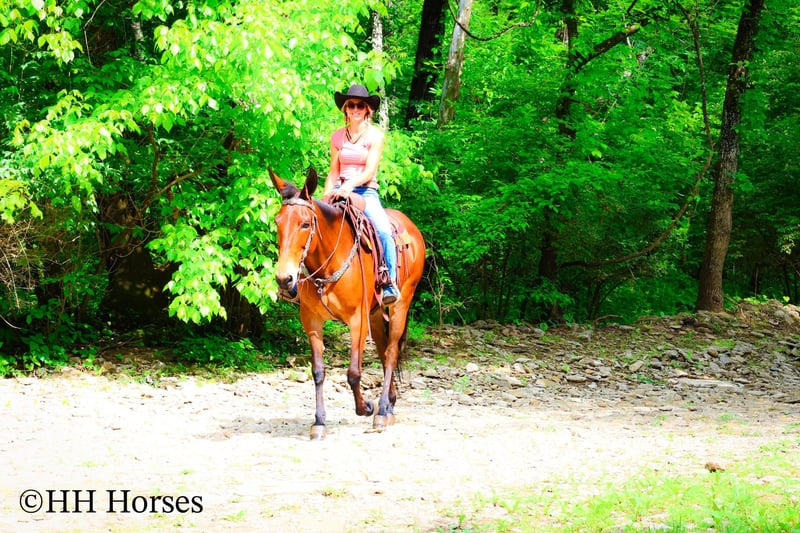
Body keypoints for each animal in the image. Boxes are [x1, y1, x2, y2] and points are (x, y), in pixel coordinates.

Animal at [269, 168, 426, 439]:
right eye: (278, 222)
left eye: (305, 223)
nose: (284, 279)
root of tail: (411, 227)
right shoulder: (312, 321)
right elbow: (318, 371)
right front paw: (319, 422)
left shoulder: (357, 320)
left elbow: (353, 373)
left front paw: (366, 407)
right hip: (376, 314)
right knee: (383, 352)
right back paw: (389, 405)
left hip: (400, 304)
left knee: (391, 352)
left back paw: (381, 410)